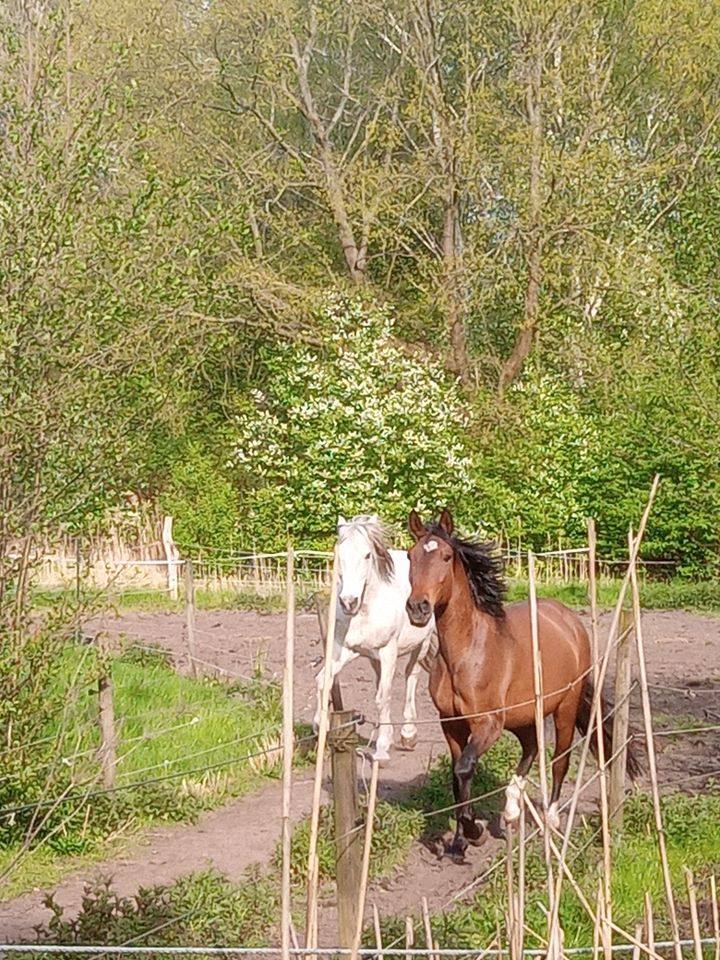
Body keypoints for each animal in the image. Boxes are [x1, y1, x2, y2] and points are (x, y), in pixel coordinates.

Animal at [312, 512, 436, 760]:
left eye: (367, 555)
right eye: (339, 554)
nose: (348, 602)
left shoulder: (389, 652)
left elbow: (383, 697)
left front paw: (382, 750)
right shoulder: (346, 650)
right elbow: (323, 681)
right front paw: (320, 726)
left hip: (421, 646)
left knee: (411, 677)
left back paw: (408, 735)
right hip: (374, 659)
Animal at [404, 510, 640, 864]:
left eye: (445, 556)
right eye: (411, 556)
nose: (417, 608)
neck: (467, 652)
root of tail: (568, 620)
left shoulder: (488, 724)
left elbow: (464, 769)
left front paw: (474, 834)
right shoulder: (451, 725)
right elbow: (458, 780)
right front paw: (458, 843)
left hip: (564, 709)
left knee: (558, 761)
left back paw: (551, 822)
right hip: (522, 715)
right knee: (532, 747)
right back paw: (512, 808)